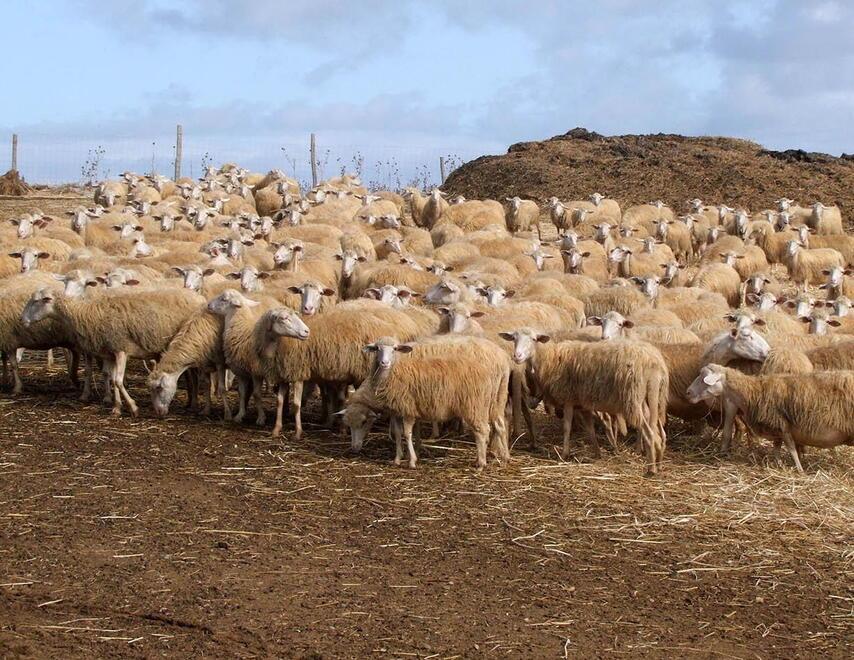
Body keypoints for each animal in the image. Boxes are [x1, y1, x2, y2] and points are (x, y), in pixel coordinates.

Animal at [345, 336, 511, 468]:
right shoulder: (410, 405)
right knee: (501, 425)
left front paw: (412, 458)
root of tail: (503, 356)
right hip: (497, 398)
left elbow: (408, 432)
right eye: (349, 425)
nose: (354, 448)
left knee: (485, 429)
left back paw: (484, 461)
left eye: (364, 422)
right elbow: (406, 432)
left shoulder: (409, 404)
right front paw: (410, 452)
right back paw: (503, 456)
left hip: (477, 403)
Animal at [499, 328, 668, 474]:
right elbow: (590, 429)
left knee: (649, 432)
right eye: (513, 338)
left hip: (634, 397)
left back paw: (651, 469)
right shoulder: (582, 404)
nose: (517, 356)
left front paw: (564, 454)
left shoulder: (568, 398)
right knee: (659, 431)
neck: (549, 359)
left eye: (534, 339)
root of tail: (656, 363)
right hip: (652, 398)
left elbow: (567, 427)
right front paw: (597, 453)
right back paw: (659, 462)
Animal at [687, 365, 854, 472]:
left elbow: (791, 448)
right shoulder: (778, 428)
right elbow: (777, 448)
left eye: (703, 379)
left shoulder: (783, 425)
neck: (753, 392)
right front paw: (778, 464)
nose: (688, 392)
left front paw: (799, 470)